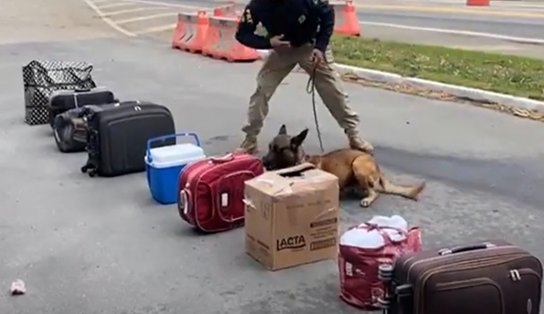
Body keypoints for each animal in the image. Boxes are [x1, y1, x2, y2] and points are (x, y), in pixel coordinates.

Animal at [262, 124, 428, 207]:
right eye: (269, 147)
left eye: (279, 149)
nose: (263, 160)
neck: (298, 162)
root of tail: (376, 164)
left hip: (358, 165)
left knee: (375, 192)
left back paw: (367, 198)